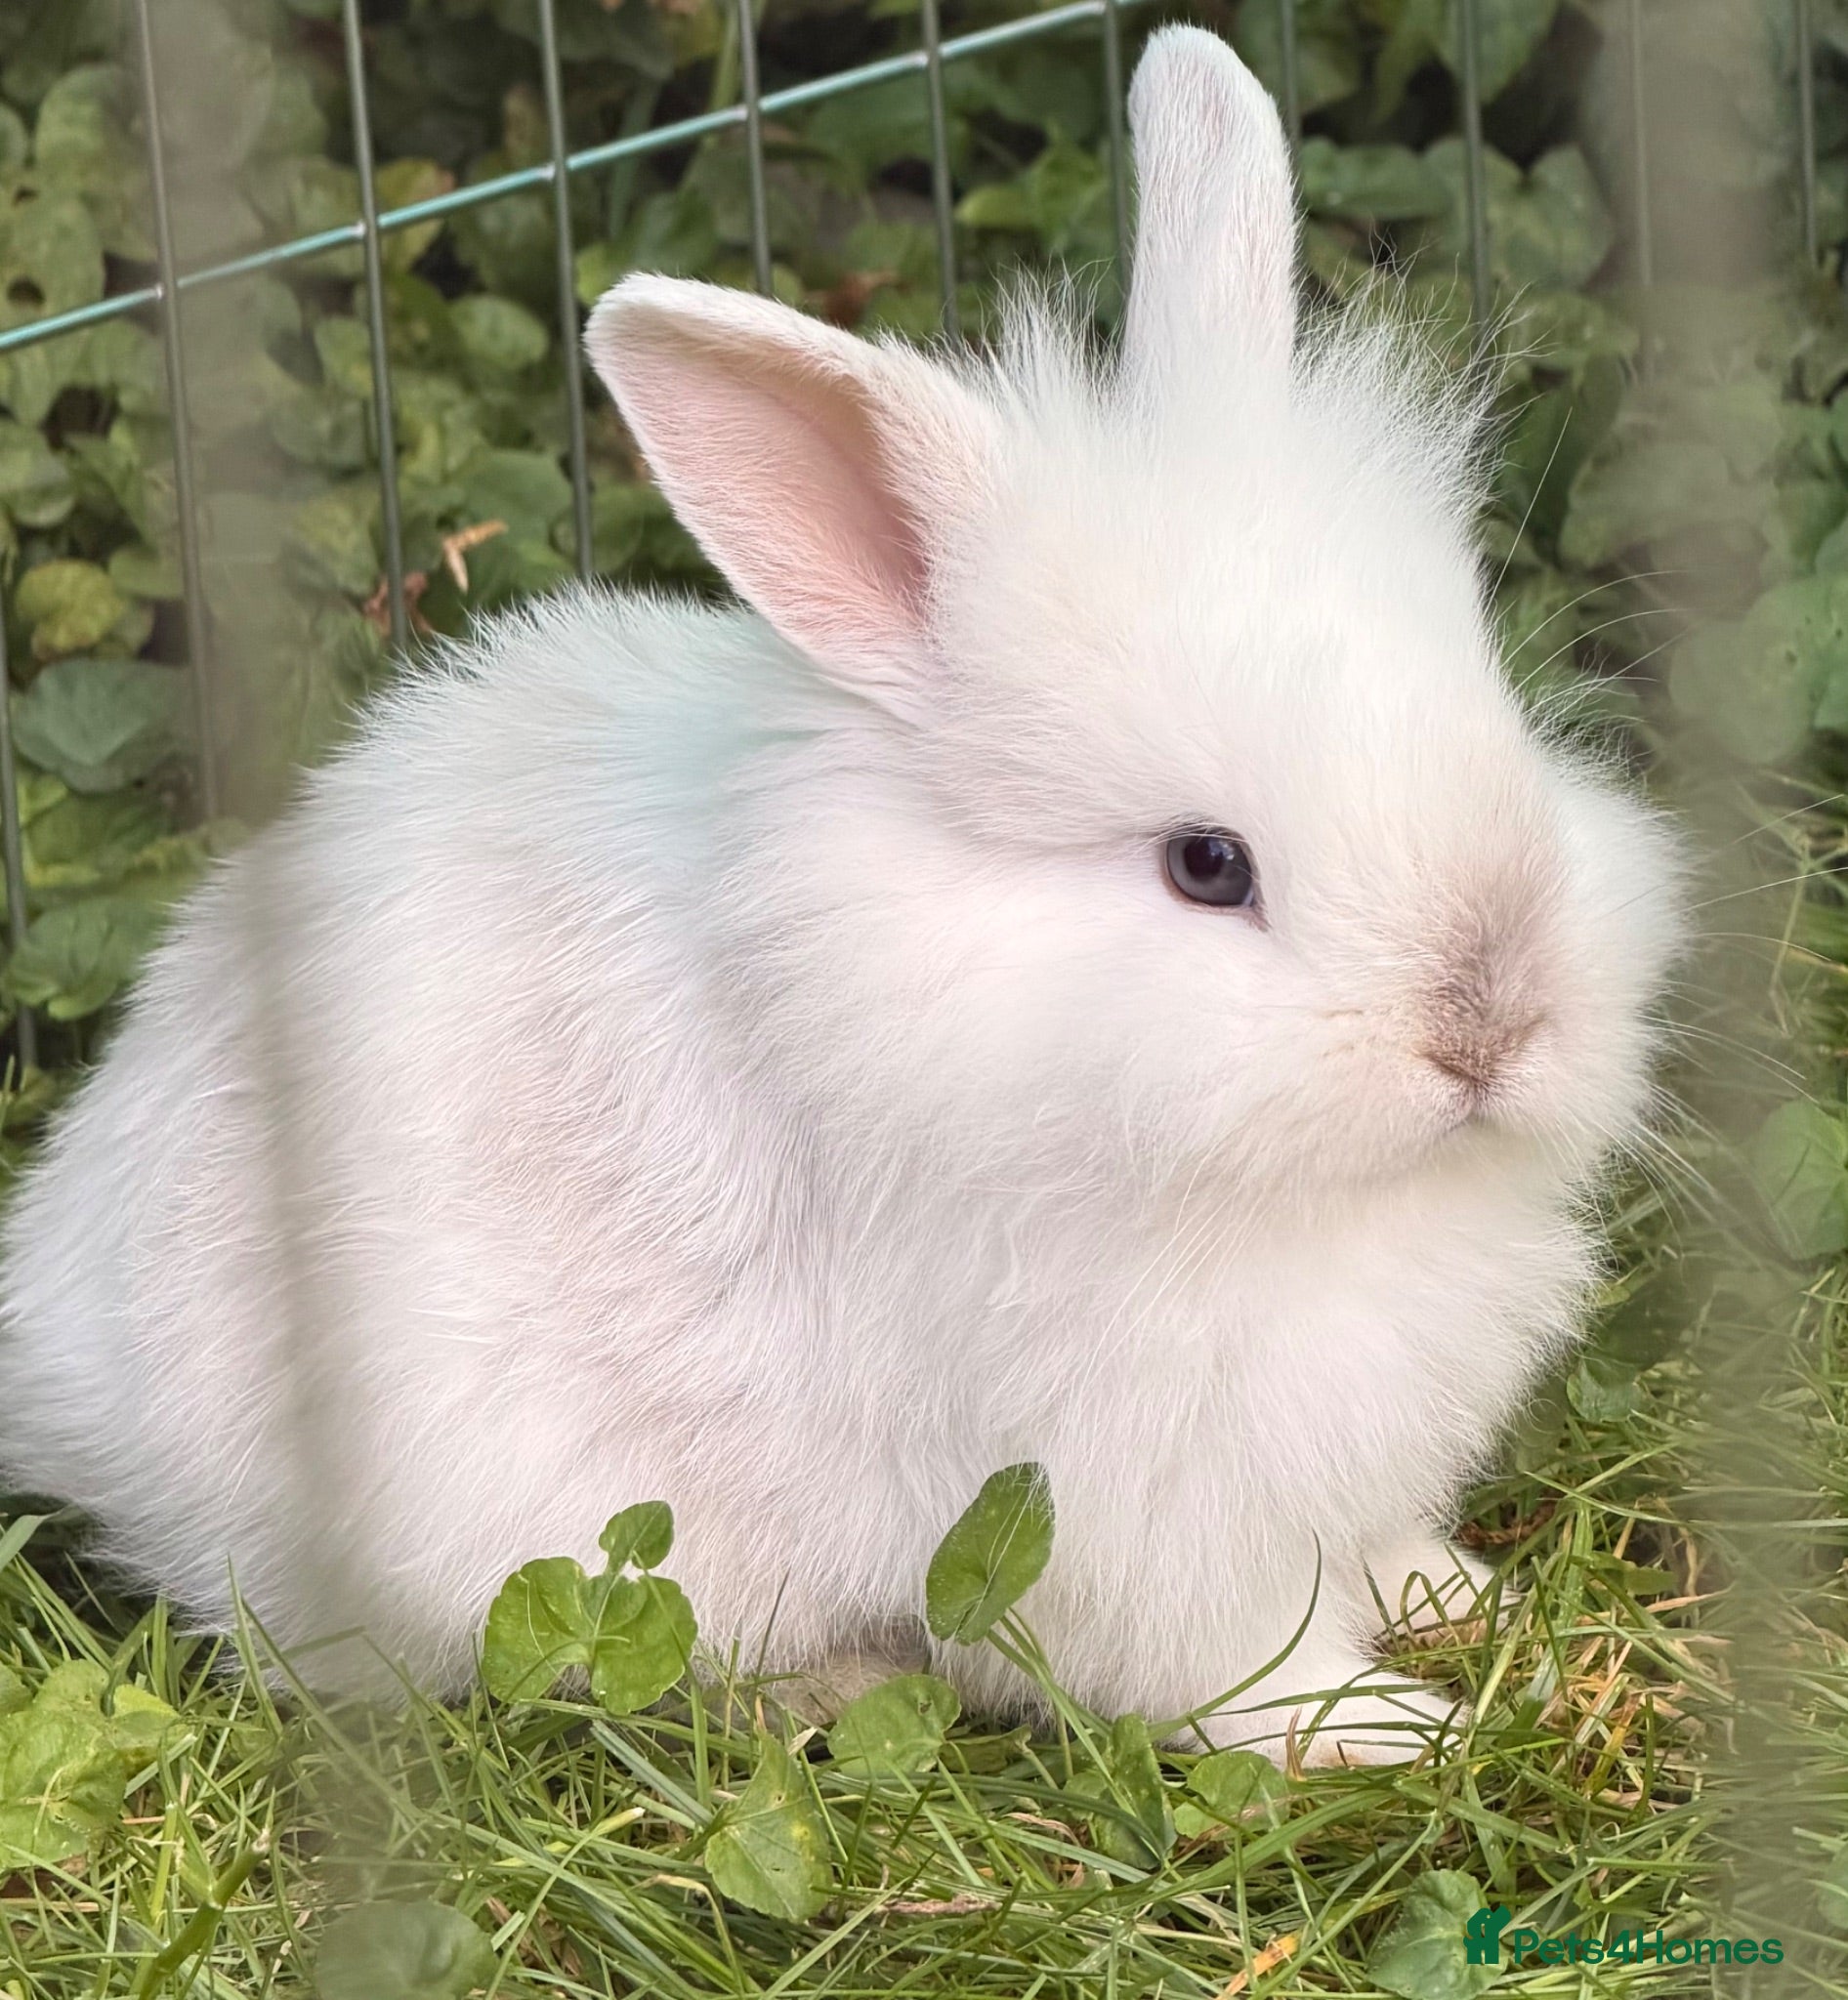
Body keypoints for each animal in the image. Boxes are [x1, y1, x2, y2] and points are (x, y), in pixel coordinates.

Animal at [0, 26, 1680, 1765]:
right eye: (1206, 865)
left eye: (1498, 713)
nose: (1489, 1025)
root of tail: (52, 1342)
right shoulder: (1104, 1494)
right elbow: (1225, 1663)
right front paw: (1393, 1727)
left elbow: (1378, 1545)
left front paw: (1479, 1614)